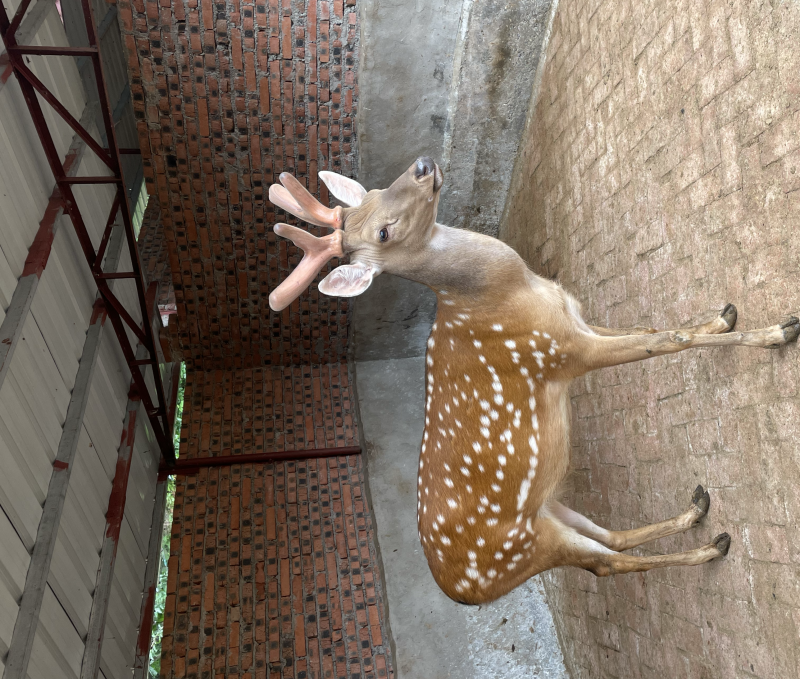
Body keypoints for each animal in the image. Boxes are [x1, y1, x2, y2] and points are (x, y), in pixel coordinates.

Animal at [267, 157, 800, 604]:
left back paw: (698, 508)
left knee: (609, 538)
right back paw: (713, 546)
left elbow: (654, 330)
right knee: (607, 565)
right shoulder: (560, 352)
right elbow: (667, 341)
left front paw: (725, 317)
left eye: (376, 190)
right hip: (528, 546)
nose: (422, 165)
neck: (510, 291)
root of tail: (467, 595)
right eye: (383, 230)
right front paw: (777, 331)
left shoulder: (576, 325)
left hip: (549, 511)